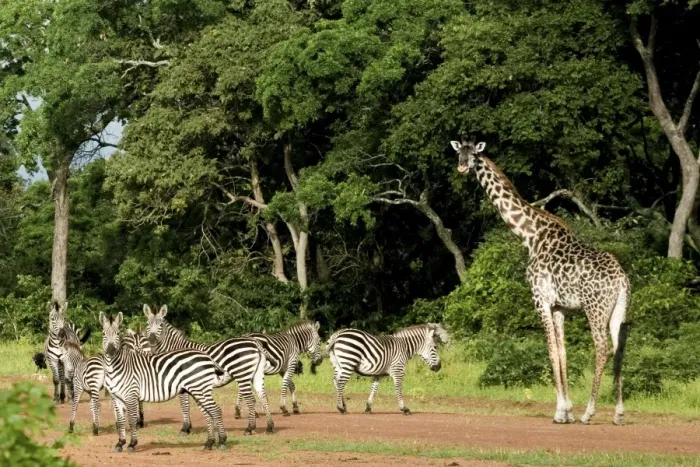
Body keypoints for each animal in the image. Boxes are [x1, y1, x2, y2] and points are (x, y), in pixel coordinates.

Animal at [100, 312, 227, 452]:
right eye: (103, 334)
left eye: (117, 333)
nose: (111, 351)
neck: (117, 367)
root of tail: (207, 356)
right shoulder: (116, 397)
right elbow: (121, 421)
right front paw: (120, 443)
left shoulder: (131, 395)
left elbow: (132, 420)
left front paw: (132, 444)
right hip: (198, 390)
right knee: (208, 413)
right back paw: (209, 443)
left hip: (200, 389)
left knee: (216, 410)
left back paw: (222, 441)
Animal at [144, 304, 277, 434]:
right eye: (147, 324)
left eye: (160, 325)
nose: (152, 341)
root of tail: (254, 342)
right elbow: (188, 405)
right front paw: (189, 427)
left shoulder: (181, 382)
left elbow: (184, 405)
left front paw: (185, 428)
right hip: (257, 374)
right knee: (263, 396)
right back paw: (269, 427)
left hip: (242, 374)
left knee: (251, 399)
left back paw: (250, 428)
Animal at [450, 138, 630, 425]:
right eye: (459, 153)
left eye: (475, 155)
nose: (462, 168)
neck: (530, 235)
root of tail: (622, 279)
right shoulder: (559, 307)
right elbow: (563, 352)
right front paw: (567, 410)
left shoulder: (540, 300)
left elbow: (551, 351)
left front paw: (560, 413)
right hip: (618, 309)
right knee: (619, 348)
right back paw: (618, 413)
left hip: (595, 308)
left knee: (602, 348)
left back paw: (589, 413)